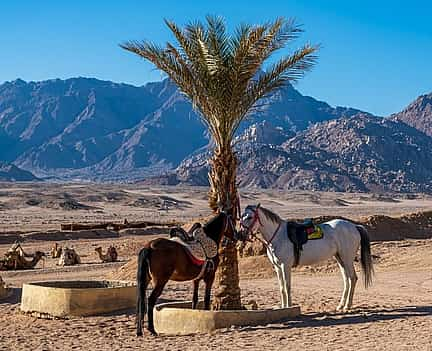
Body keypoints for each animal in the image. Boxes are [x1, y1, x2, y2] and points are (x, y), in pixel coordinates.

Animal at [240, 205, 374, 312]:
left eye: (250, 217)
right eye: (241, 216)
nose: (241, 234)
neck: (278, 236)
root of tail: (355, 226)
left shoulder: (285, 266)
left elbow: (287, 286)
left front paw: (288, 306)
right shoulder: (277, 267)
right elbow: (282, 288)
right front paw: (283, 306)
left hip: (347, 259)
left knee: (353, 278)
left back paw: (347, 306)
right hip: (340, 258)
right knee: (347, 280)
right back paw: (341, 305)